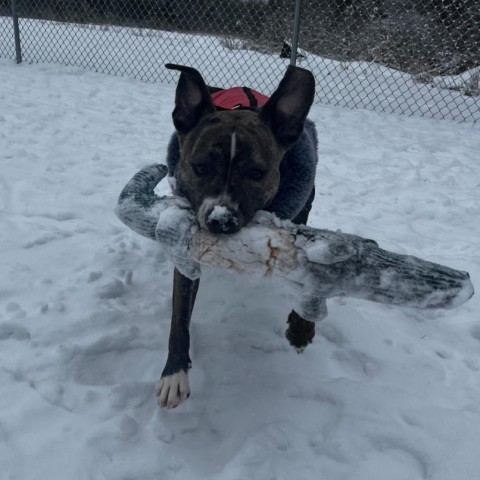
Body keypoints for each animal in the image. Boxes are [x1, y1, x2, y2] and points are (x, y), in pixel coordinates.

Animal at [158, 64, 318, 408]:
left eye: (257, 173)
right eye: (199, 167)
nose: (221, 220)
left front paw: (301, 328)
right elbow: (179, 316)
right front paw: (175, 373)